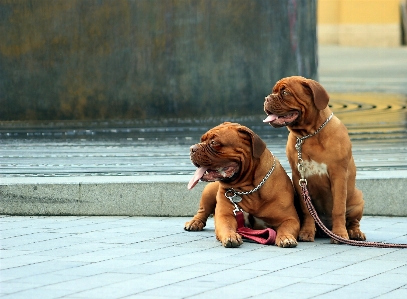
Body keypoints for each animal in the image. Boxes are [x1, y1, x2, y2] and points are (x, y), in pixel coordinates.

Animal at [262, 75, 368, 244]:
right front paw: (306, 232)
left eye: (285, 92)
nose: (266, 98)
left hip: (358, 199)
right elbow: (307, 210)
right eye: (274, 91)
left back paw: (354, 232)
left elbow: (338, 208)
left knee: (353, 221)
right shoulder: (299, 178)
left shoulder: (338, 175)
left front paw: (340, 234)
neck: (309, 134)